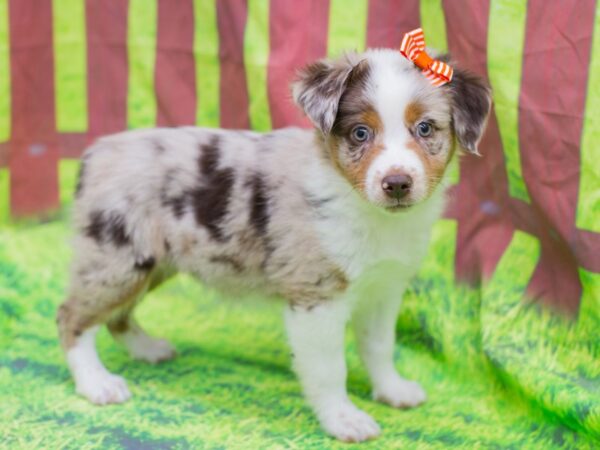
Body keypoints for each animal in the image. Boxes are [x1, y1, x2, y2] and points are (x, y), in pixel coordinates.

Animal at [56, 47, 490, 442]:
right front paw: (344, 420)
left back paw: (146, 349)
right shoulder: (316, 297)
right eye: (360, 133)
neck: (372, 215)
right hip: (117, 256)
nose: (397, 183)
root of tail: (95, 153)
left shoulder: (383, 288)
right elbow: (330, 368)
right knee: (72, 316)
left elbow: (380, 346)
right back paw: (97, 384)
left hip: (149, 262)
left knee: (116, 315)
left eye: (426, 129)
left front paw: (392, 390)